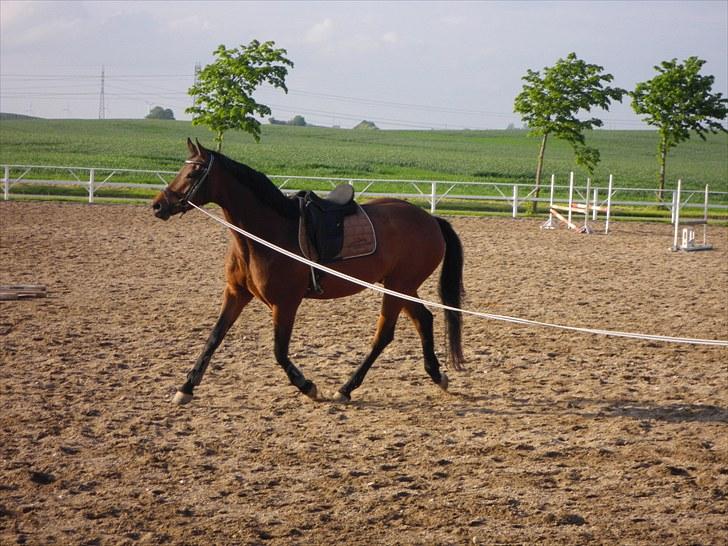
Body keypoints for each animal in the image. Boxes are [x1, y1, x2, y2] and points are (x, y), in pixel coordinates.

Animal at [152, 139, 466, 404]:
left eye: (193, 173)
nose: (158, 205)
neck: (267, 233)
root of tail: (432, 220)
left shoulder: (285, 303)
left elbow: (279, 351)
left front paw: (308, 387)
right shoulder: (236, 293)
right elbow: (214, 337)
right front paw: (186, 388)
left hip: (398, 287)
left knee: (384, 335)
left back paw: (346, 388)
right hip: (401, 286)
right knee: (423, 319)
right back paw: (437, 375)